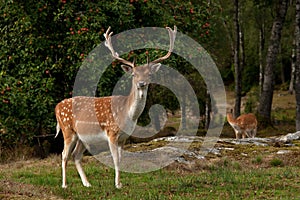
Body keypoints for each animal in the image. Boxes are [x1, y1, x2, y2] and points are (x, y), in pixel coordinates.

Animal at [55, 25, 177, 188]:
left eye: (149, 74)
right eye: (133, 74)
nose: (141, 84)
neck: (128, 115)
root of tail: (57, 107)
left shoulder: (124, 137)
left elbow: (120, 159)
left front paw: (120, 182)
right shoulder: (111, 132)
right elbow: (115, 160)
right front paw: (117, 184)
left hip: (83, 137)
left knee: (76, 155)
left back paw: (87, 183)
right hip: (67, 130)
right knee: (64, 155)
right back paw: (64, 184)